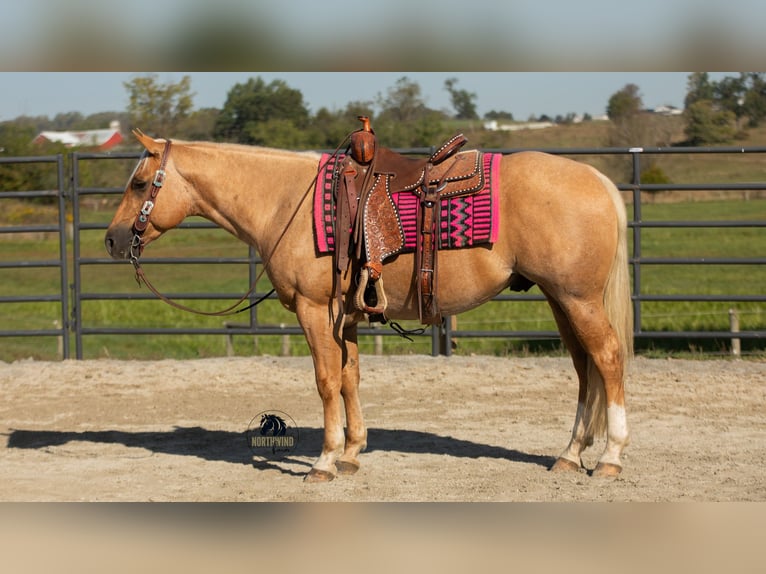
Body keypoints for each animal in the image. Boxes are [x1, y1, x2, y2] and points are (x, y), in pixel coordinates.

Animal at [105, 130, 633, 482]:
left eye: (139, 183)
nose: (112, 240)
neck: (285, 202)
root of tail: (597, 179)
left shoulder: (314, 310)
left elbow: (325, 381)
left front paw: (323, 461)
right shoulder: (348, 317)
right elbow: (350, 377)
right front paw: (352, 452)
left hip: (578, 300)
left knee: (607, 359)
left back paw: (609, 458)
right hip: (561, 300)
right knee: (585, 370)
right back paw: (569, 455)